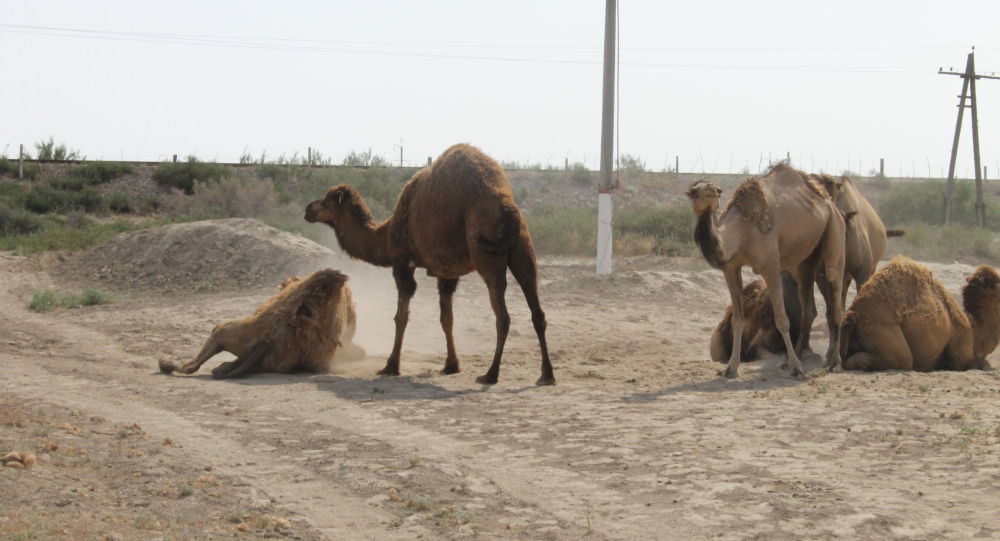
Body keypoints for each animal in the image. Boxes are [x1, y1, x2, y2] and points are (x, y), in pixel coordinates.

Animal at [304, 140, 556, 384]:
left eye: (325, 202)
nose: (308, 209)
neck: (387, 234)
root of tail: (507, 208)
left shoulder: (402, 263)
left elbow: (401, 317)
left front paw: (390, 366)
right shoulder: (447, 271)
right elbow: (447, 319)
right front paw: (451, 365)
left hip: (488, 254)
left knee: (502, 316)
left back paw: (491, 374)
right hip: (523, 249)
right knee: (536, 307)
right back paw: (546, 374)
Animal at [688, 162, 844, 378]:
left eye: (715, 189)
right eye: (694, 191)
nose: (712, 190)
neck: (741, 232)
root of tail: (829, 202)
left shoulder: (770, 266)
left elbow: (782, 319)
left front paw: (796, 368)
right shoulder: (731, 268)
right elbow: (738, 319)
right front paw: (731, 368)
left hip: (835, 231)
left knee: (834, 291)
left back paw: (833, 363)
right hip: (805, 261)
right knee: (811, 305)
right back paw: (803, 357)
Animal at [840, 258, 996, 372]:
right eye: (997, 282)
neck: (972, 326)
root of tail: (854, 316)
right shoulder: (961, 352)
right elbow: (974, 363)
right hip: (882, 330)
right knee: (903, 360)